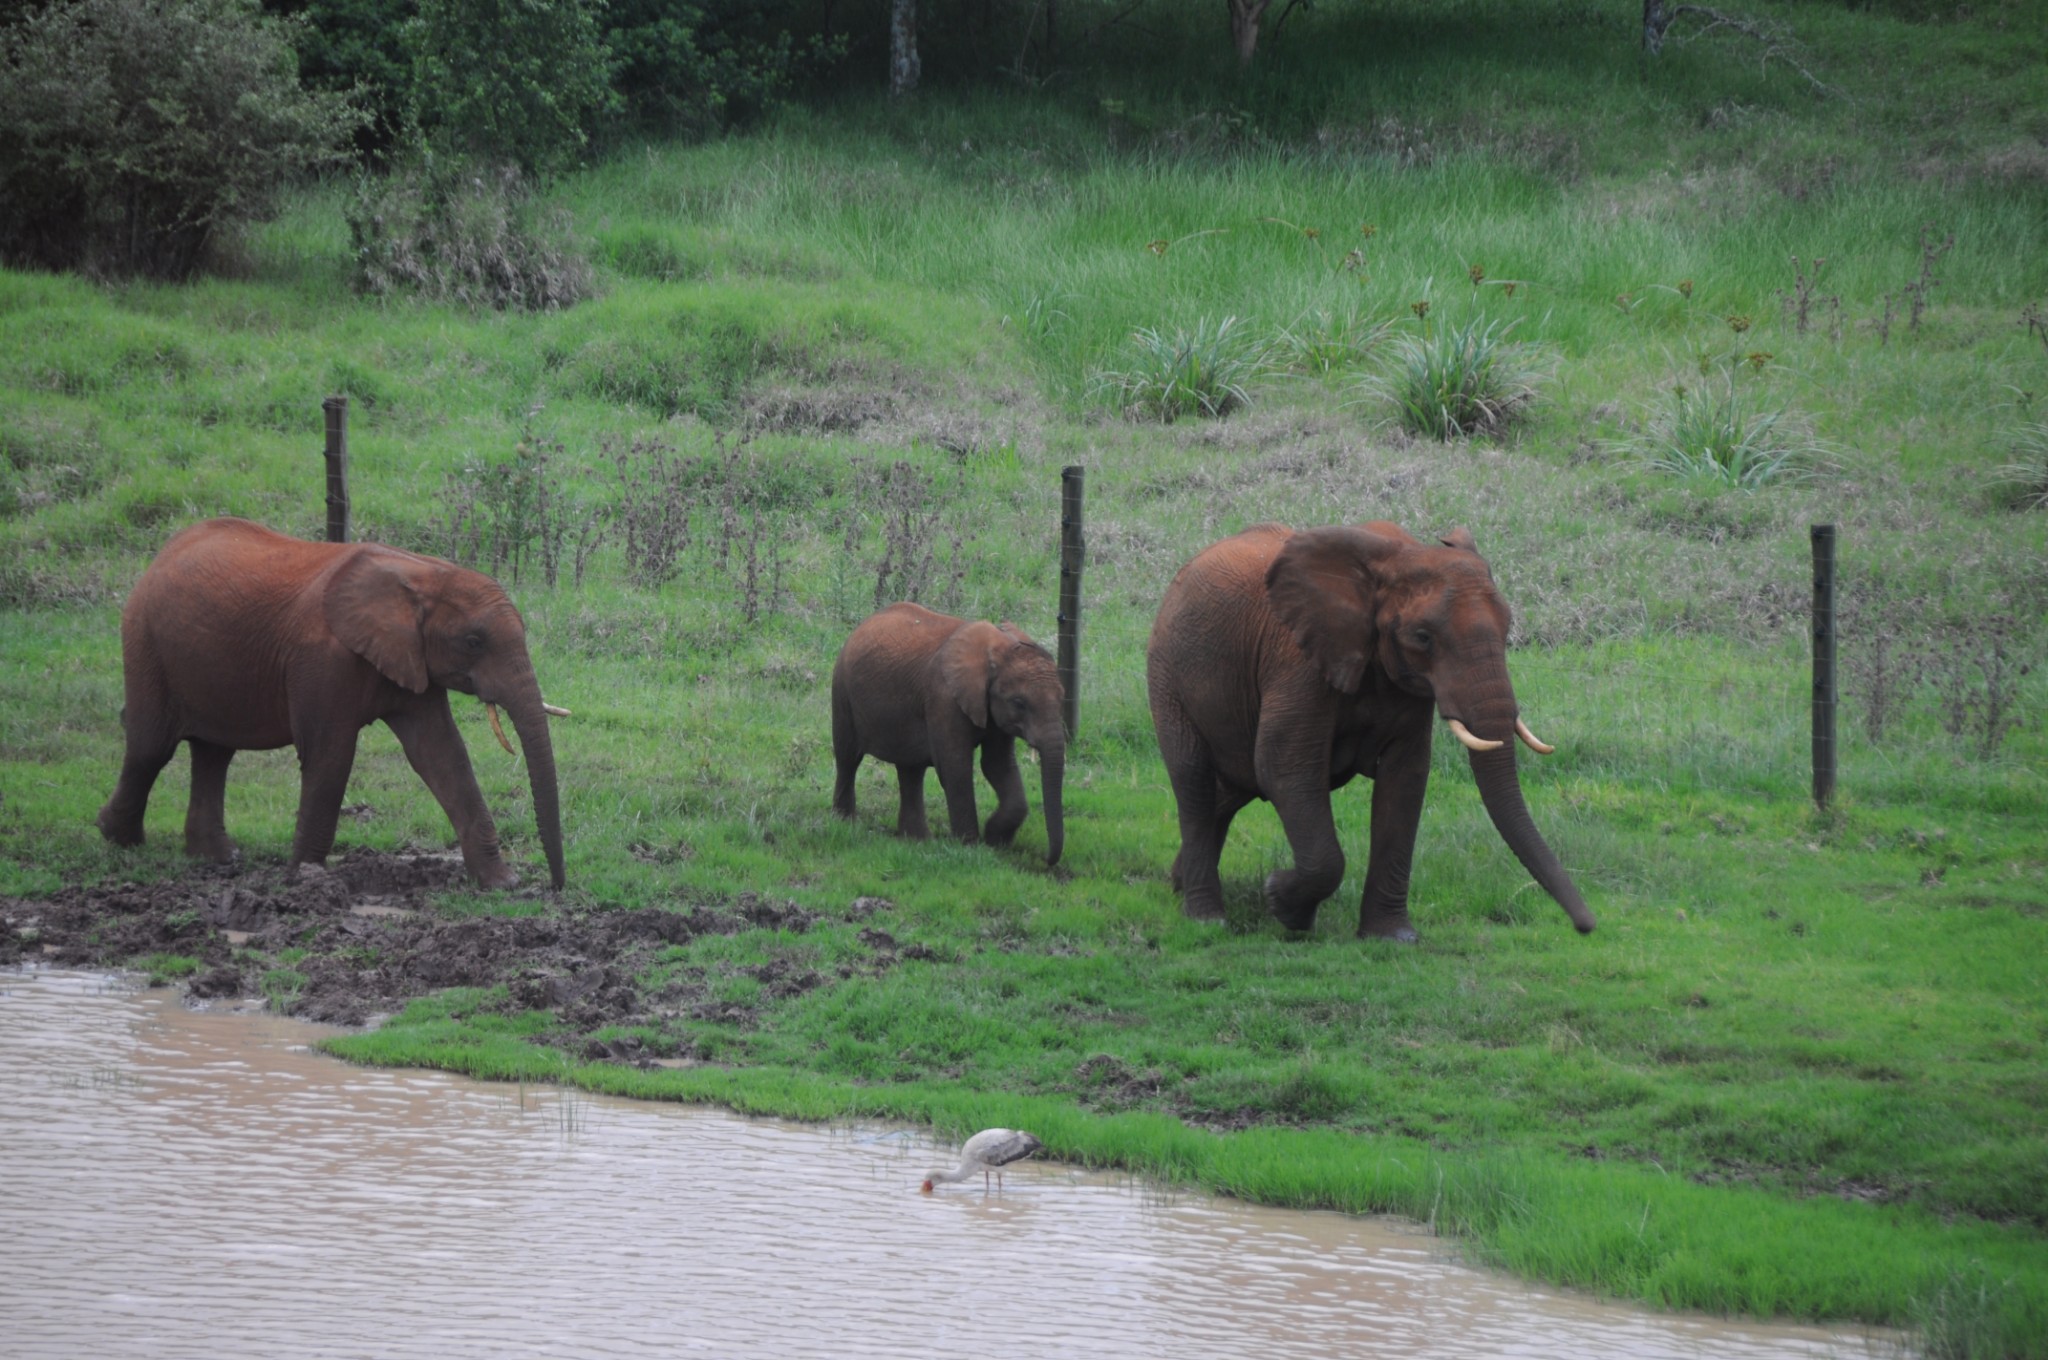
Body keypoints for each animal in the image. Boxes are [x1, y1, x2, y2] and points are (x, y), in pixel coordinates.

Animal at [97, 516, 569, 888]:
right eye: (473, 642)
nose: (556, 887)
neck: (423, 573)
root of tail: (163, 553)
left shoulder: (410, 658)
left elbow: (441, 753)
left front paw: (501, 884)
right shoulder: (322, 660)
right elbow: (330, 755)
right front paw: (303, 879)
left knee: (214, 753)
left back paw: (218, 857)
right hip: (144, 639)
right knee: (151, 746)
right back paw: (117, 839)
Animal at [827, 602, 1064, 864]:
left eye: (1063, 698)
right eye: (1019, 703)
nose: (1046, 860)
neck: (998, 649)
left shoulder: (993, 712)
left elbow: (997, 764)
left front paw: (994, 839)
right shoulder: (944, 698)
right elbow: (955, 766)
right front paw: (971, 848)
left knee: (910, 770)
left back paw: (917, 840)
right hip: (842, 691)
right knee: (848, 757)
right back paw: (845, 822)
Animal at [1146, 524, 1589, 942]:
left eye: (1508, 626)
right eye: (1422, 637)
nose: (1586, 926)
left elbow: (1406, 776)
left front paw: (1392, 937)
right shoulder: (1298, 661)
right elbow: (1284, 766)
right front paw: (1282, 902)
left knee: (1231, 788)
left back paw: (1178, 883)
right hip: (1167, 674)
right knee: (1194, 780)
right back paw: (1206, 918)